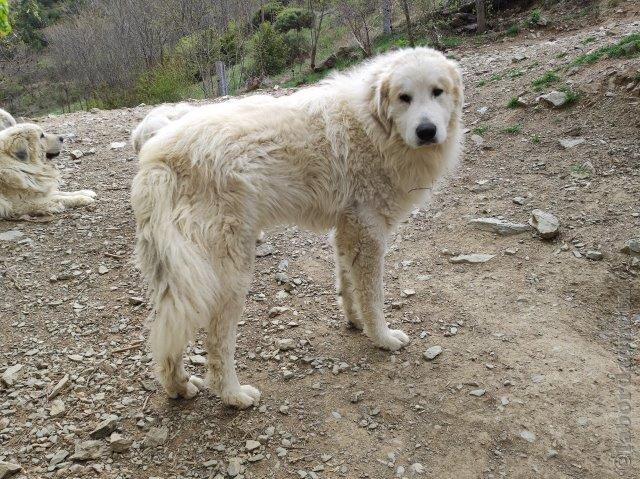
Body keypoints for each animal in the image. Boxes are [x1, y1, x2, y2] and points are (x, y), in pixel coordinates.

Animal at [132, 47, 464, 408]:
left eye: (437, 92)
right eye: (405, 97)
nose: (427, 131)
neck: (372, 124)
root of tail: (158, 157)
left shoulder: (348, 230)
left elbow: (349, 287)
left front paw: (355, 322)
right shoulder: (369, 232)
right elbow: (372, 297)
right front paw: (383, 337)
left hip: (177, 276)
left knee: (168, 331)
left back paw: (177, 386)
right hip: (229, 275)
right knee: (218, 345)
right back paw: (234, 395)